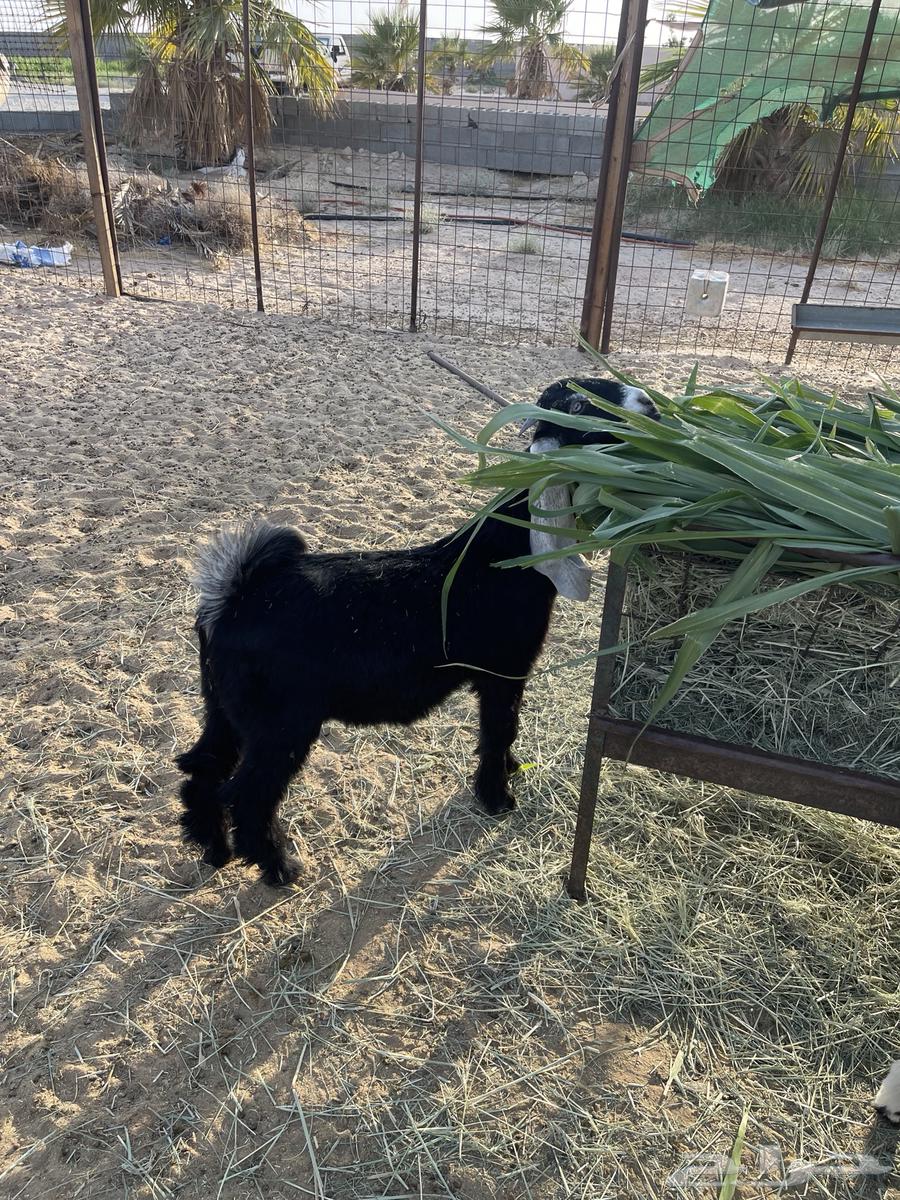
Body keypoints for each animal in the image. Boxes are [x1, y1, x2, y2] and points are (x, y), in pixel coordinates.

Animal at [175, 377, 658, 885]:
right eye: (580, 409)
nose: (649, 405)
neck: (504, 553)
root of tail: (234, 595)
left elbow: (503, 732)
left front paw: (508, 772)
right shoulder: (503, 672)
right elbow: (500, 729)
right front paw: (497, 796)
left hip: (226, 711)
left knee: (200, 770)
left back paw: (214, 851)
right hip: (280, 724)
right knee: (247, 795)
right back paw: (278, 867)